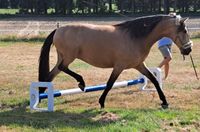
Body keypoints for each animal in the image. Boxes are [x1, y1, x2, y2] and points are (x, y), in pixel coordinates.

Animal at [38, 14, 192, 108]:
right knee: (63, 68)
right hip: (69, 57)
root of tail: (58, 30)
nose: (188, 50)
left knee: (50, 75)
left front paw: (164, 101)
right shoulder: (119, 66)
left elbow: (153, 80)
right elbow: (110, 83)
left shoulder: (139, 65)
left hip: (63, 57)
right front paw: (101, 102)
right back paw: (81, 83)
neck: (135, 37)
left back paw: (39, 97)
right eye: (184, 31)